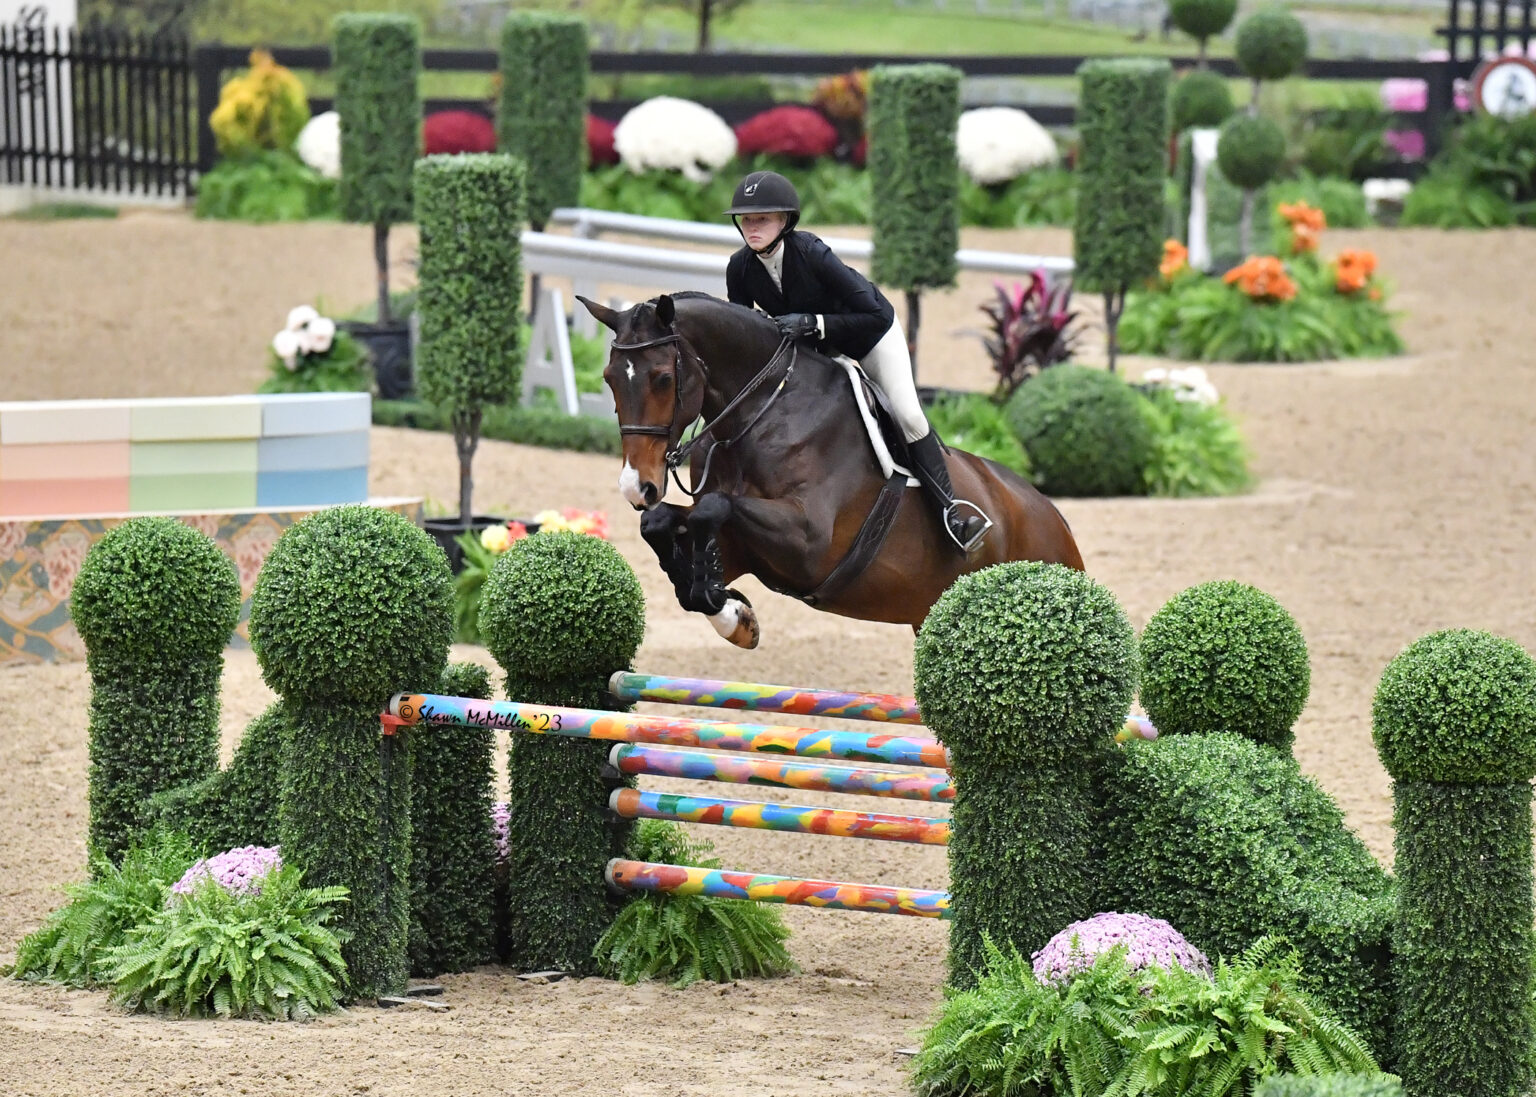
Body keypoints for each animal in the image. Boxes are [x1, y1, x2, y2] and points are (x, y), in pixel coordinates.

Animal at [577, 293, 1093, 648]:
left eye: (664, 378)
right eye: (608, 379)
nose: (637, 486)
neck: (759, 414)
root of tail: (1056, 518)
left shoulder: (807, 541)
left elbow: (713, 508)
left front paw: (730, 612)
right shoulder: (742, 545)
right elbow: (663, 523)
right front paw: (734, 616)